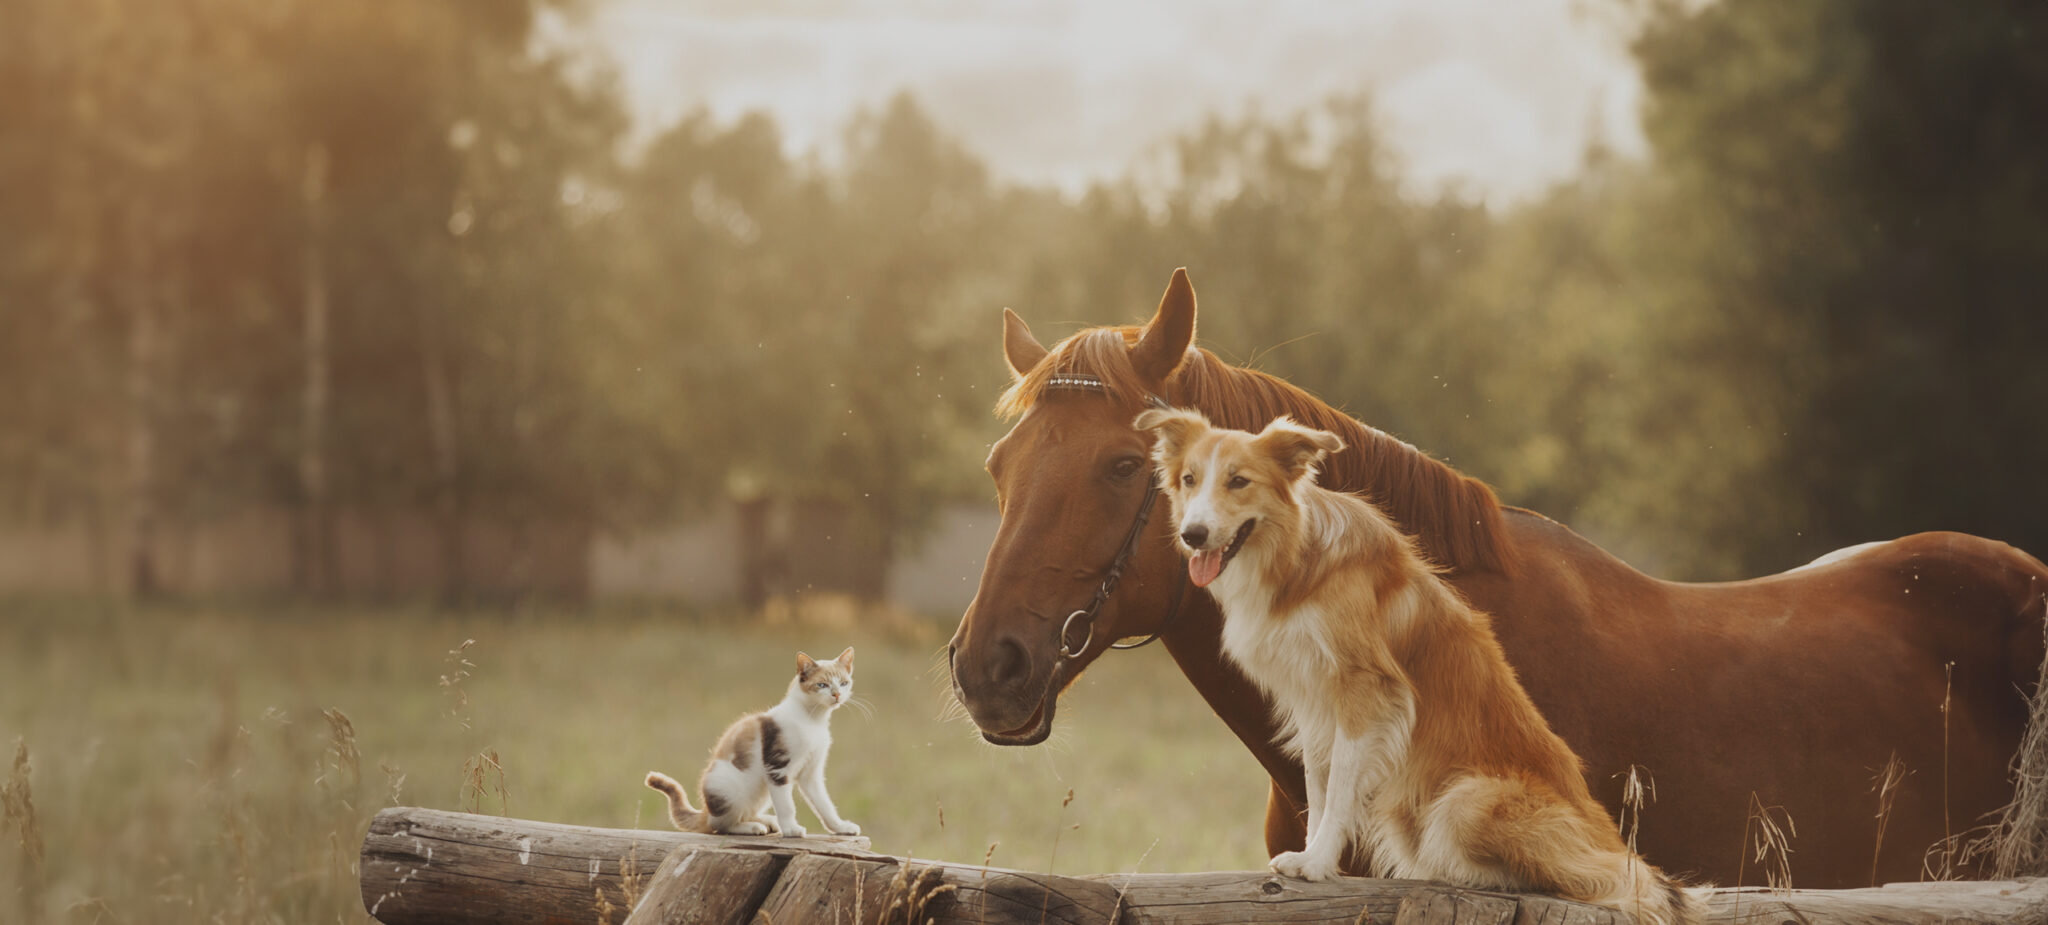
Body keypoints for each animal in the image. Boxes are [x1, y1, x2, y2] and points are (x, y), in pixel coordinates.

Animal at [643, 642, 860, 839]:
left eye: (843, 683)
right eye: (822, 685)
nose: (837, 694)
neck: (813, 720)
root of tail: (706, 810)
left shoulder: (811, 773)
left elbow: (824, 804)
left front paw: (840, 827)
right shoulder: (777, 766)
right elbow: (786, 805)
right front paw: (791, 829)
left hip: (760, 794)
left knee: (742, 814)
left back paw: (766, 821)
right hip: (729, 788)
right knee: (719, 825)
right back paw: (751, 827)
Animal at [1138, 409, 1695, 925]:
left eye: (1239, 481)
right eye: (1189, 480)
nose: (1192, 534)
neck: (1297, 559)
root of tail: (1612, 842)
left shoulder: (1366, 692)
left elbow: (1340, 786)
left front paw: (1318, 864)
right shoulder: (1314, 699)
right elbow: (1319, 784)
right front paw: (1312, 856)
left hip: (1465, 800)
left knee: (1606, 882)